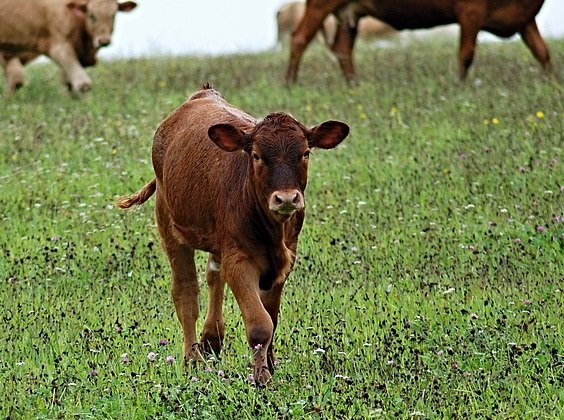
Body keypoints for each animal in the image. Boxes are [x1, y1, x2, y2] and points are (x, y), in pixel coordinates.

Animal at [118, 84, 348, 384]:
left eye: (305, 153)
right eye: (257, 155)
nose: (286, 198)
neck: (272, 232)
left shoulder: (285, 259)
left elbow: (272, 317)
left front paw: (269, 364)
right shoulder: (239, 260)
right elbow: (260, 324)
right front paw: (262, 378)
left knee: (214, 275)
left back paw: (211, 339)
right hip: (169, 223)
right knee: (186, 292)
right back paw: (192, 358)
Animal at [286, 0, 552, 83]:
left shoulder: (525, 18)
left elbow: (542, 52)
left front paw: (551, 83)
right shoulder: (470, 11)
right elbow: (466, 54)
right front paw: (461, 86)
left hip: (349, 14)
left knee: (343, 50)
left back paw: (354, 85)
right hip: (319, 5)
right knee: (299, 39)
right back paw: (290, 83)